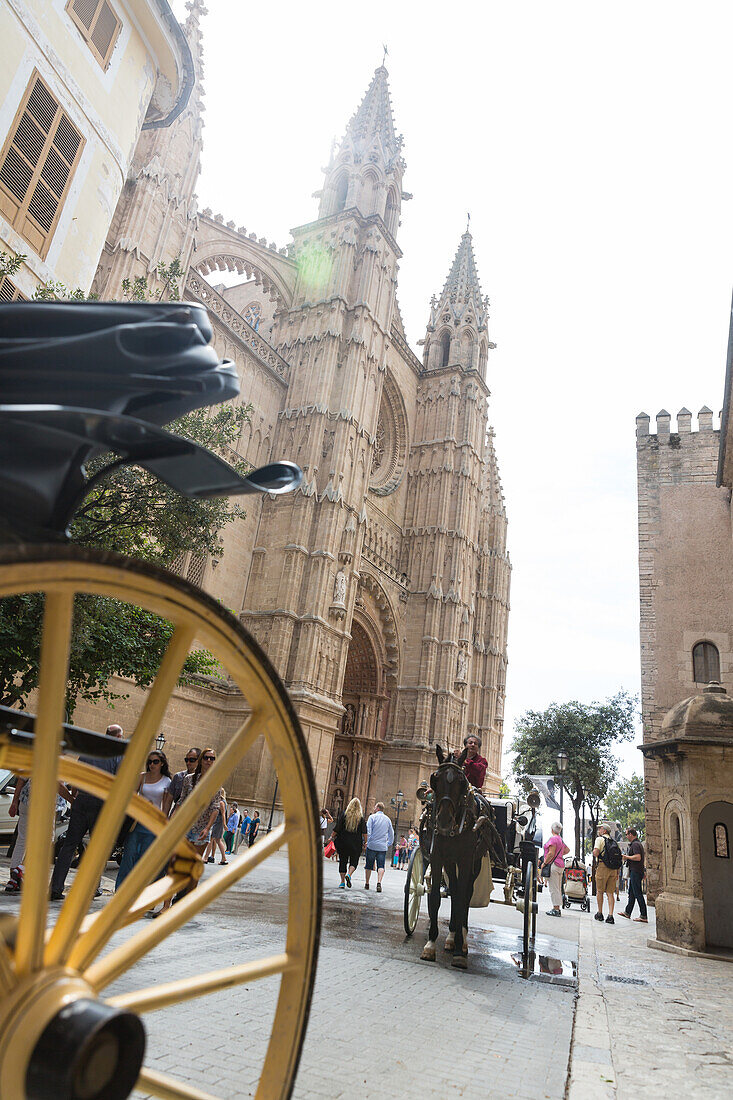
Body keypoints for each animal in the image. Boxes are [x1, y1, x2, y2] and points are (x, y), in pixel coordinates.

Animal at [416, 743, 497, 968]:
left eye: (462, 781)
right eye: (434, 778)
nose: (444, 820)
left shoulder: (466, 860)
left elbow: (462, 898)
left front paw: (460, 952)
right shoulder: (437, 857)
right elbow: (436, 897)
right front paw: (430, 944)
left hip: (474, 862)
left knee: (465, 893)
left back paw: (462, 939)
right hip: (450, 863)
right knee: (453, 887)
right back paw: (452, 937)